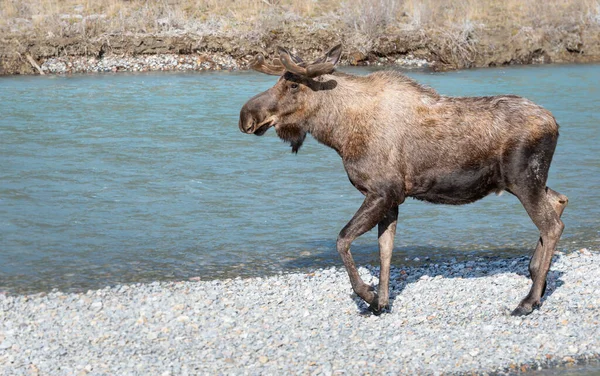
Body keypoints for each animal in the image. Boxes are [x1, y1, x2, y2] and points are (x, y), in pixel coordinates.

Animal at [238, 44, 568, 316]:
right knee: (559, 200)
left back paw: (528, 301)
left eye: (292, 84)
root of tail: (555, 123)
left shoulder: (382, 192)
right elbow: (385, 251)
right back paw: (537, 276)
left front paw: (368, 295)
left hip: (523, 179)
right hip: (526, 181)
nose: (246, 116)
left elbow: (343, 240)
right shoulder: (392, 199)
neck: (338, 132)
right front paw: (382, 302)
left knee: (551, 224)